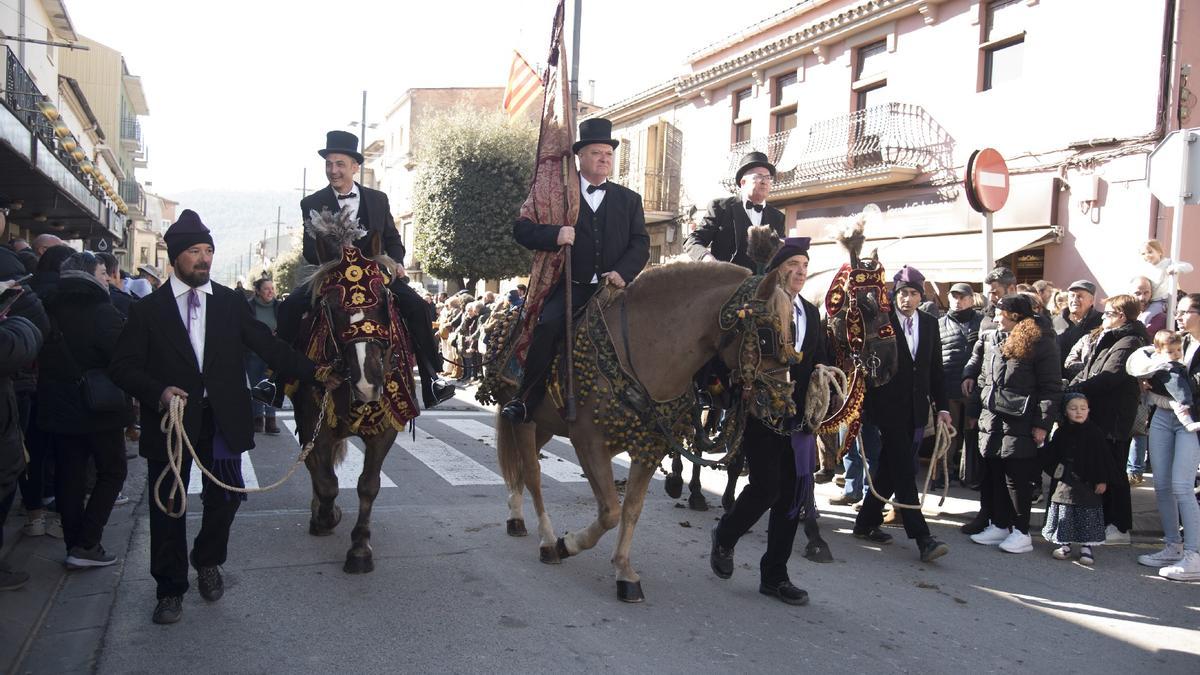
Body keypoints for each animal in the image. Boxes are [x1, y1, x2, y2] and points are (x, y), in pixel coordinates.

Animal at [291, 206, 420, 571]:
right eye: (331, 306)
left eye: (385, 299)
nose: (367, 382)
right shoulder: (315, 425)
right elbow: (326, 482)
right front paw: (325, 516)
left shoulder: (385, 429)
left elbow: (368, 486)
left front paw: (360, 547)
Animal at [492, 261, 801, 598]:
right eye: (766, 336)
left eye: (793, 331)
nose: (783, 405)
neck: (646, 348)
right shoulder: (588, 442)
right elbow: (610, 511)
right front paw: (568, 543)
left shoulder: (649, 447)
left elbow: (631, 509)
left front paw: (624, 572)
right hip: (525, 416)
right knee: (533, 473)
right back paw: (548, 541)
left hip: (546, 424)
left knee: (523, 467)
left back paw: (516, 515)